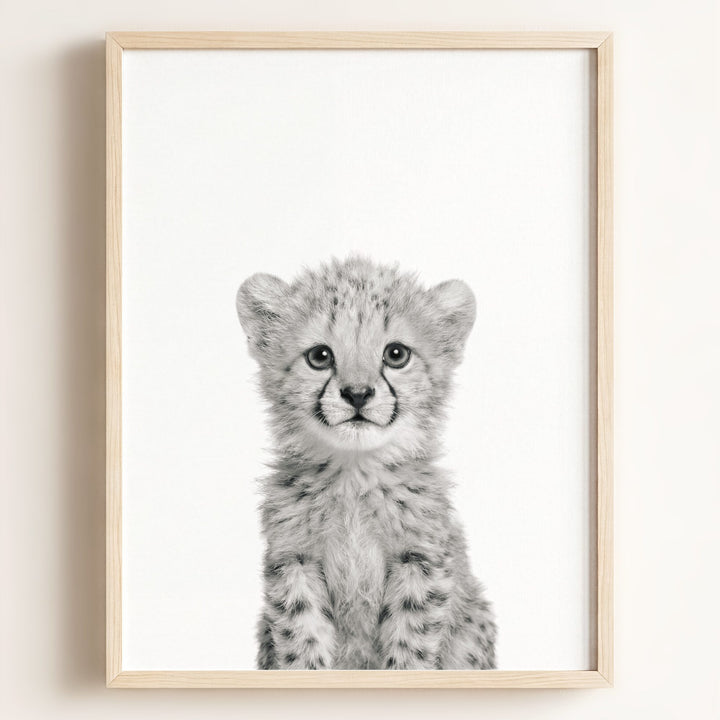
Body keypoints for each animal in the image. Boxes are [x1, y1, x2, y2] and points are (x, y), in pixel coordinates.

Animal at [236, 256, 496, 670]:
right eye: (320, 356)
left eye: (396, 354)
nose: (357, 394)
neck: (354, 476)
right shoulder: (294, 560)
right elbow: (302, 638)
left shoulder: (420, 560)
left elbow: (410, 643)